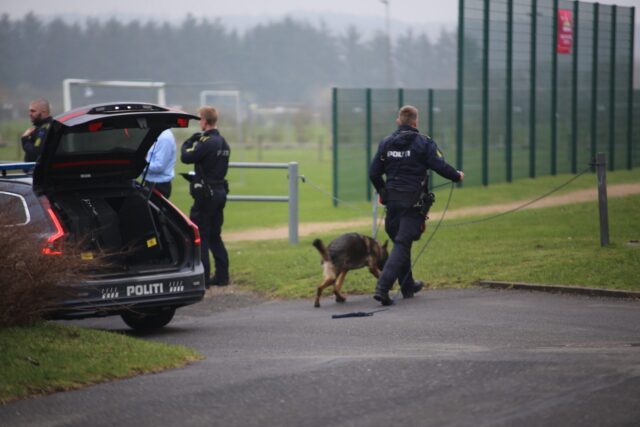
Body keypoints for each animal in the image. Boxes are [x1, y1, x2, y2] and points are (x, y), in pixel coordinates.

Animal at [181, 105, 231, 290]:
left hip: (202, 214)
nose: (199, 128)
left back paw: (208, 281)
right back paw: (221, 278)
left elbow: (187, 156)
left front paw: (193, 138)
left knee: (204, 235)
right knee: (216, 238)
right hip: (217, 215)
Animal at [370, 104, 464, 306]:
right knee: (404, 245)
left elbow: (373, 171)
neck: (403, 133)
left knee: (400, 246)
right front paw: (455, 173)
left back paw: (387, 290)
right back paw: (400, 290)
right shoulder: (430, 146)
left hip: (393, 221)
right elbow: (439, 164)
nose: (459, 176)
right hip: (412, 219)